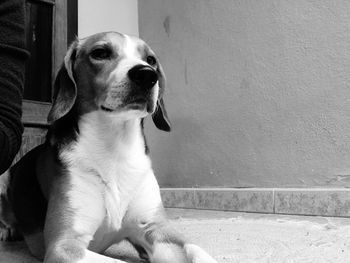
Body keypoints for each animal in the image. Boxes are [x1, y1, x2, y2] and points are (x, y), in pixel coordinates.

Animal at [0, 31, 217, 263]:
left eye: (151, 60)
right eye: (100, 53)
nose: (146, 75)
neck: (116, 148)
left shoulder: (156, 229)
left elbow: (196, 250)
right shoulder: (63, 246)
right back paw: (8, 230)